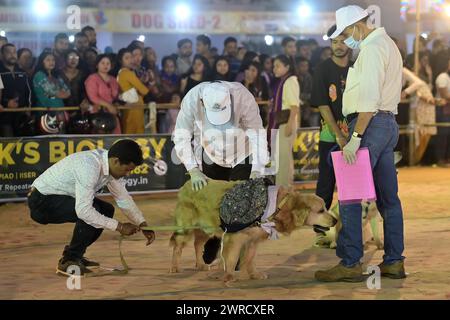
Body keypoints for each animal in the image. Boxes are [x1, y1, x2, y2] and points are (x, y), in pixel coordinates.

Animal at [171, 180, 336, 282]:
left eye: (325, 208)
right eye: (321, 210)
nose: (335, 220)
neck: (279, 206)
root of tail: (187, 184)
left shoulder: (253, 239)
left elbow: (250, 258)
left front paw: (253, 274)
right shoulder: (234, 237)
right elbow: (232, 258)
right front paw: (229, 276)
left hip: (205, 229)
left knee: (197, 244)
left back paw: (200, 264)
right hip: (186, 228)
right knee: (178, 246)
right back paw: (175, 267)